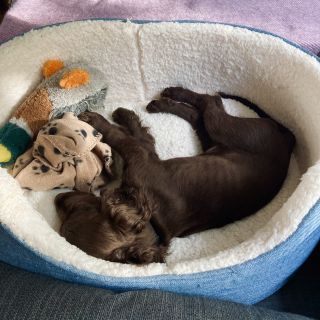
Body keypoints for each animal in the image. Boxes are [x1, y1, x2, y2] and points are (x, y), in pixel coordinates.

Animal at [54, 86, 296, 264]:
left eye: (83, 209)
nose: (59, 198)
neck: (153, 222)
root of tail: (287, 141)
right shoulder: (146, 154)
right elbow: (140, 136)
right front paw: (125, 115)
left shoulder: (141, 157)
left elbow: (121, 137)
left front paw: (102, 119)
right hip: (214, 141)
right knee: (198, 114)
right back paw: (163, 102)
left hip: (228, 130)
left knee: (211, 102)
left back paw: (172, 93)